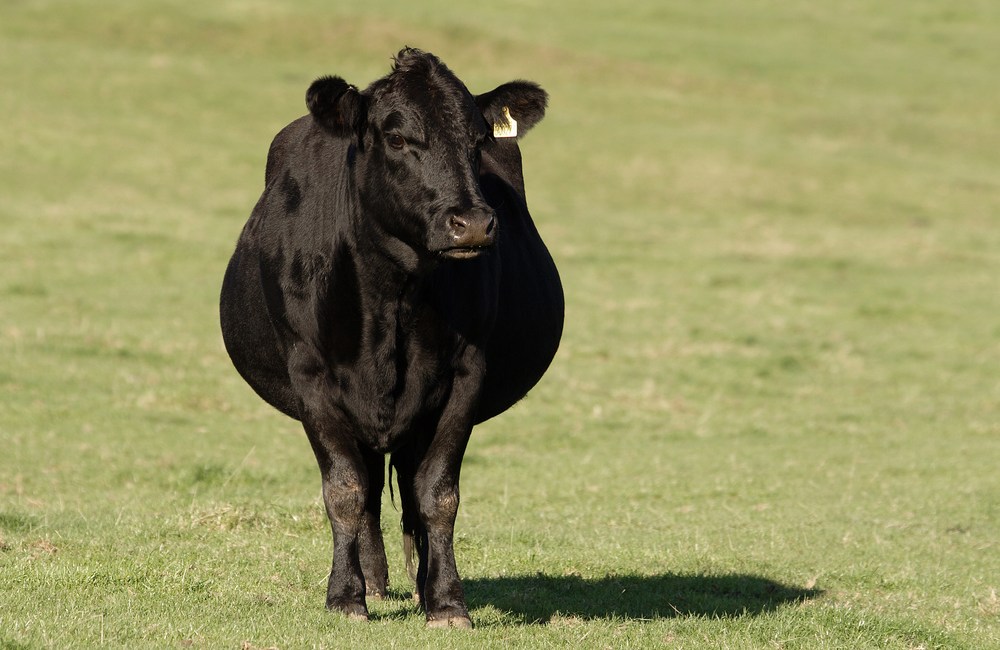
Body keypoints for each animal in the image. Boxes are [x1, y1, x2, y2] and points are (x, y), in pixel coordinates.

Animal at [220, 48, 564, 624]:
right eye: (398, 138)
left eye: (478, 141)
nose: (472, 223)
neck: (394, 296)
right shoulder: (311, 376)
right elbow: (345, 489)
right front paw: (345, 596)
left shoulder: (466, 374)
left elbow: (438, 492)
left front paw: (446, 601)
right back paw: (374, 583)